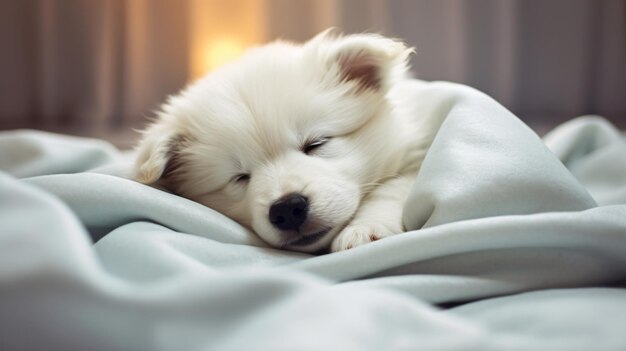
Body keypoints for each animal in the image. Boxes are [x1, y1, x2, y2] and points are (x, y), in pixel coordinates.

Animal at [133, 30, 438, 253]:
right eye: (239, 177)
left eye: (316, 144)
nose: (288, 209)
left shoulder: (416, 157)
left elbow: (390, 188)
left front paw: (366, 228)